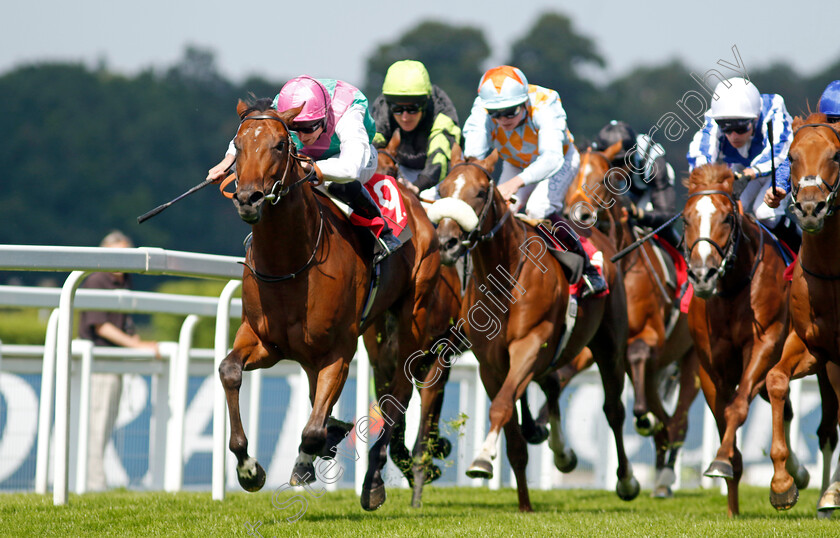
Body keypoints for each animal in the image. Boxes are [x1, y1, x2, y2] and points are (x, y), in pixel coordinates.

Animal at [217, 98, 442, 508]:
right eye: (237, 146)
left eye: (279, 145)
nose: (248, 199)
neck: (290, 262)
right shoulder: (264, 341)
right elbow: (229, 371)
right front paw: (248, 468)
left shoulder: (338, 351)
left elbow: (312, 430)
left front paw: (306, 463)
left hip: (412, 316)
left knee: (396, 394)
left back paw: (373, 482)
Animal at [434, 149, 636, 508]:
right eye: (443, 189)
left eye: (480, 193)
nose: (447, 242)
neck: (505, 276)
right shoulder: (490, 363)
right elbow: (513, 434)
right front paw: (524, 505)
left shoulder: (530, 342)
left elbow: (502, 406)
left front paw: (482, 459)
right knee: (552, 385)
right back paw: (562, 453)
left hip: (609, 345)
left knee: (613, 410)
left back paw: (626, 481)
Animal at [564, 144, 704, 496]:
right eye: (570, 176)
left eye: (605, 179)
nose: (579, 215)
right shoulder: (599, 345)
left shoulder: (648, 337)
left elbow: (639, 356)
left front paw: (642, 419)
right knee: (664, 415)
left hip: (692, 360)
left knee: (679, 419)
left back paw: (665, 476)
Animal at [684, 163, 812, 516]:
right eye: (685, 219)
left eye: (727, 218)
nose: (702, 276)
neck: (731, 290)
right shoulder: (710, 366)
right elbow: (723, 413)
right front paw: (732, 502)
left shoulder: (764, 345)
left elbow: (738, 407)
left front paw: (722, 463)